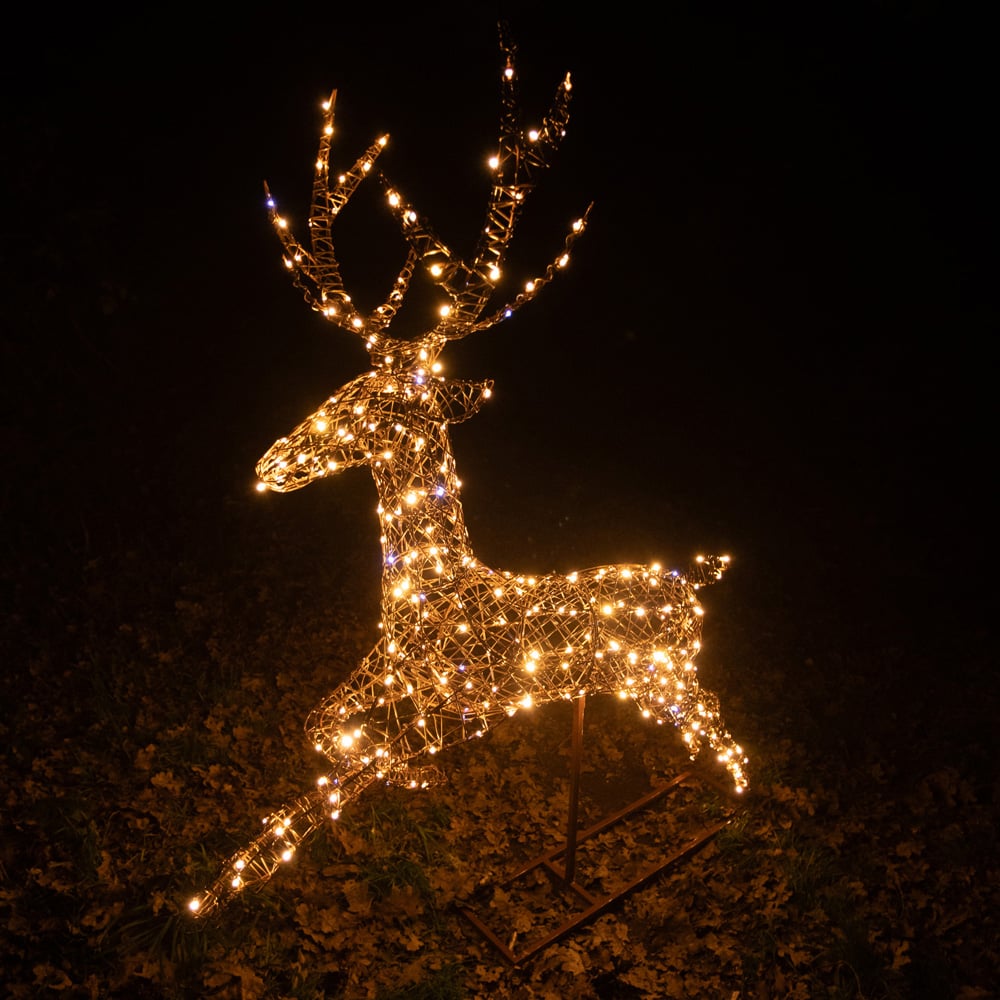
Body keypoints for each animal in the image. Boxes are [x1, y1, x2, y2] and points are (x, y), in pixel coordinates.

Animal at [188, 34, 747, 917]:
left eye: (368, 400)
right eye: (342, 385)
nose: (270, 463)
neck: (419, 590)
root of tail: (694, 577)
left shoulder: (458, 699)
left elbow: (365, 754)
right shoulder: (374, 679)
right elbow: (319, 725)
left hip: (661, 678)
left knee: (722, 730)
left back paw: (727, 803)